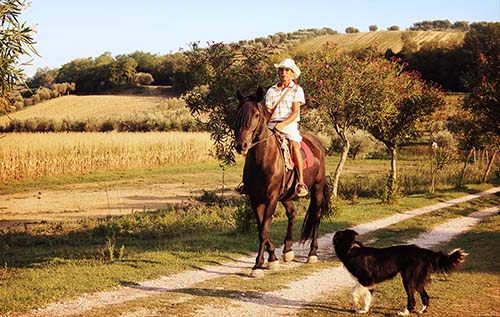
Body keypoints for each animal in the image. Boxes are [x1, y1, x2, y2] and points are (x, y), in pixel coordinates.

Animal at [235, 86, 330, 276]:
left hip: (316, 189)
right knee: (292, 214)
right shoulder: (255, 198)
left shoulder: (271, 197)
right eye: (238, 113)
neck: (262, 159)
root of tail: (318, 143)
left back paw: (312, 254)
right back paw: (288, 250)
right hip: (286, 195)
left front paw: (258, 265)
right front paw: (272, 258)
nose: (241, 145)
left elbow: (264, 229)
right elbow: (261, 228)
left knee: (316, 216)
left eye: (256, 115)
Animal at [332, 227, 468, 314]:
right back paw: (421, 310)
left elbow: (359, 294)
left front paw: (362, 309)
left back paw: (405, 312)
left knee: (412, 299)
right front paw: (361, 307)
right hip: (417, 280)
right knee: (425, 296)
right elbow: (358, 293)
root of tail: (422, 251)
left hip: (408, 279)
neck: (350, 248)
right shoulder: (363, 281)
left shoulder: (367, 279)